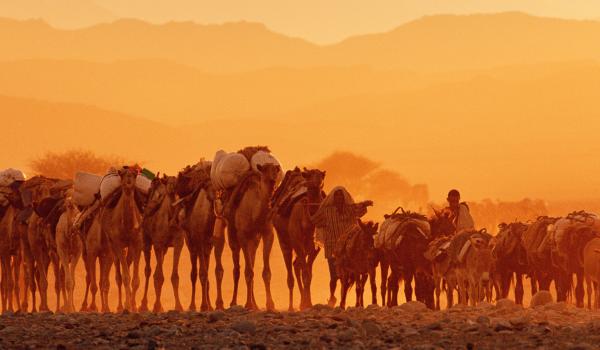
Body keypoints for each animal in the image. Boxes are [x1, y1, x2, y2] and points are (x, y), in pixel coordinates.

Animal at [102, 168, 143, 310]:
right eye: (121, 174)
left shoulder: (137, 242)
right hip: (111, 245)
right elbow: (125, 277)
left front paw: (134, 306)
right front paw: (127, 306)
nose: (128, 179)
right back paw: (120, 306)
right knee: (118, 276)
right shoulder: (117, 243)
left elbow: (135, 280)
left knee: (128, 264)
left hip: (129, 248)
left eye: (135, 174)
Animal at [139, 175, 184, 312]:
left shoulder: (178, 244)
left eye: (177, 182)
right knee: (148, 270)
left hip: (164, 248)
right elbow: (159, 277)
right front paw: (157, 306)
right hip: (146, 241)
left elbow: (174, 276)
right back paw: (143, 304)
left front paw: (179, 306)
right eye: (168, 182)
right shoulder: (158, 244)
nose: (172, 188)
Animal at [226, 163, 280, 310]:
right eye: (264, 171)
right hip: (233, 238)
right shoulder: (243, 235)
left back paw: (255, 304)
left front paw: (270, 304)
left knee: (252, 262)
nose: (273, 181)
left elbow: (265, 272)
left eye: (276, 170)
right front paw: (248, 304)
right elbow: (248, 272)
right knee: (237, 269)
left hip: (254, 242)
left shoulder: (268, 233)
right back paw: (233, 302)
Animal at [274, 168, 326, 310]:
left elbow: (309, 274)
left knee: (296, 265)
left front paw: (308, 303)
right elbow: (305, 273)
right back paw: (291, 306)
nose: (318, 182)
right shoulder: (297, 242)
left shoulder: (315, 248)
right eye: (309, 175)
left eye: (322, 175)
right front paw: (306, 304)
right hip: (284, 241)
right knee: (290, 272)